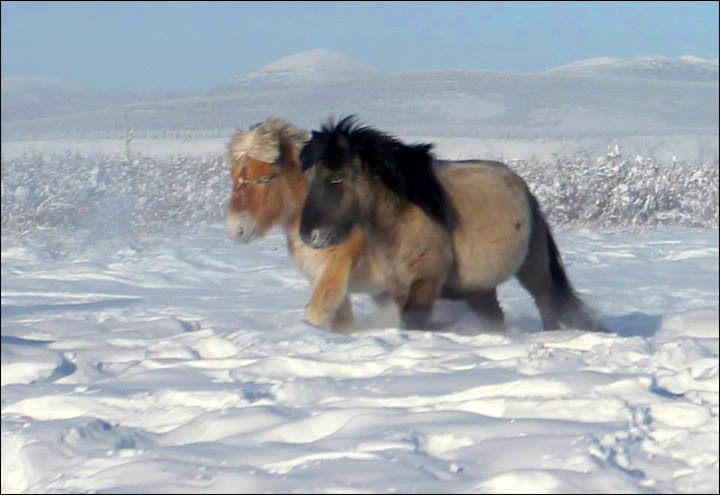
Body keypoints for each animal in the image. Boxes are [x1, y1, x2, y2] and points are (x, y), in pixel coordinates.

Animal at [228, 117, 390, 334]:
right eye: (233, 177)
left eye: (265, 178)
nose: (237, 228)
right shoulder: (318, 273)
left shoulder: (337, 266)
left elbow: (315, 312)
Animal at [298, 116, 608, 334]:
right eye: (309, 178)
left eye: (335, 179)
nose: (309, 235)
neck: (403, 216)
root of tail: (528, 195)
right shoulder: (399, 285)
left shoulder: (425, 280)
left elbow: (414, 320)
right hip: (479, 288)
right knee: (496, 317)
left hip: (533, 268)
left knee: (545, 303)